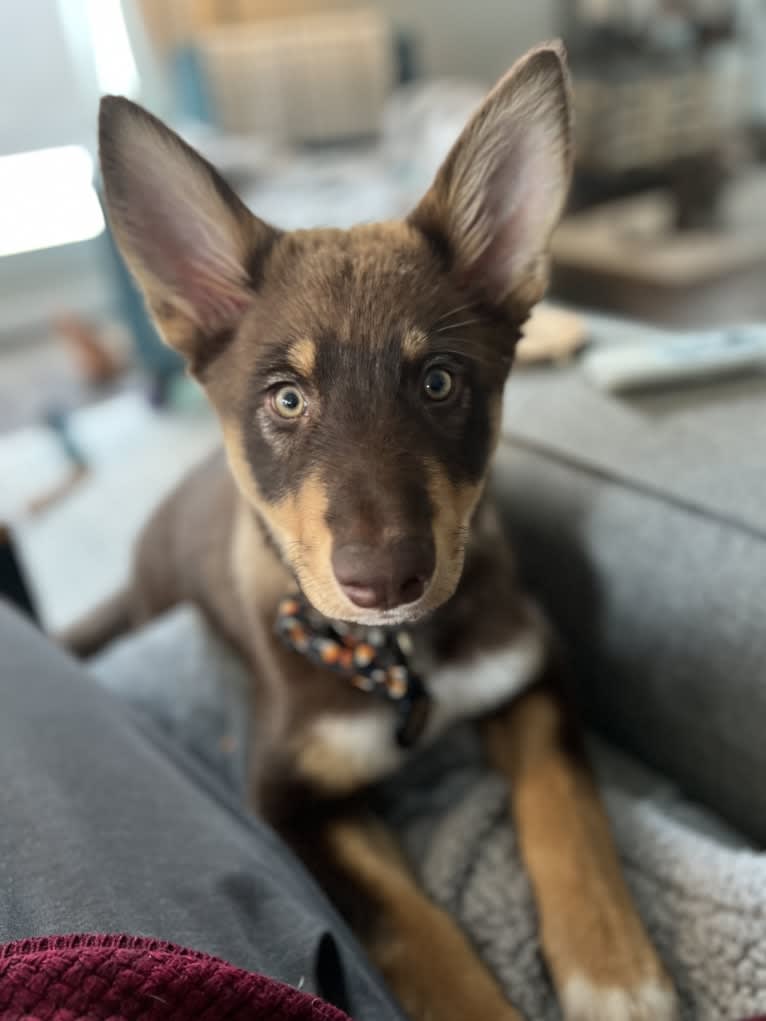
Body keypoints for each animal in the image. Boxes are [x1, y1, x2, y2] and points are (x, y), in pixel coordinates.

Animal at [72, 41, 682, 1021]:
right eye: (287, 398)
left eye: (438, 381)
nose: (386, 577)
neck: (399, 657)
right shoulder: (287, 796)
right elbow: (407, 920)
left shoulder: (529, 666)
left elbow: (566, 801)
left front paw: (615, 969)